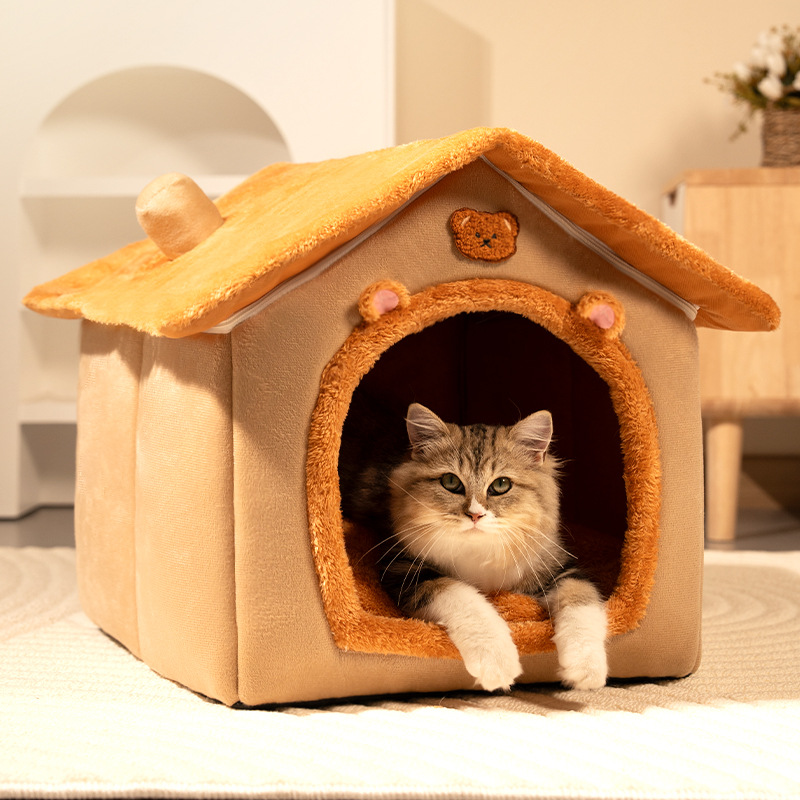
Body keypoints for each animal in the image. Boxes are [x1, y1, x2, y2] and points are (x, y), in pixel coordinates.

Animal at [340, 402, 608, 692]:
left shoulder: (561, 569)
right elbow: (466, 598)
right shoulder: (405, 569)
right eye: (450, 482)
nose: (475, 515)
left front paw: (586, 672)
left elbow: (581, 604)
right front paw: (497, 664)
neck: (479, 552)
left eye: (501, 485)